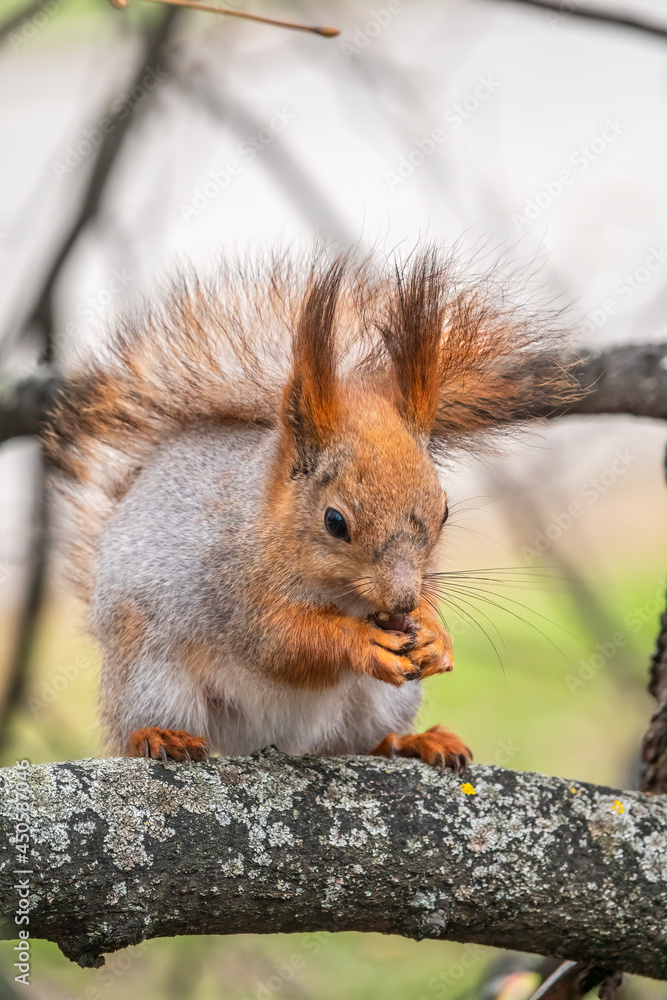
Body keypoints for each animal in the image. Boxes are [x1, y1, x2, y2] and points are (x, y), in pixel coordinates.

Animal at [45, 248, 574, 773]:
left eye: (444, 512)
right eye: (334, 522)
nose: (403, 601)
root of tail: (271, 739)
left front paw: (434, 637)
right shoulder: (233, 590)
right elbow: (282, 643)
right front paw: (359, 642)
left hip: (381, 704)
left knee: (360, 743)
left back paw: (415, 741)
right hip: (150, 671)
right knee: (138, 727)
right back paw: (159, 736)